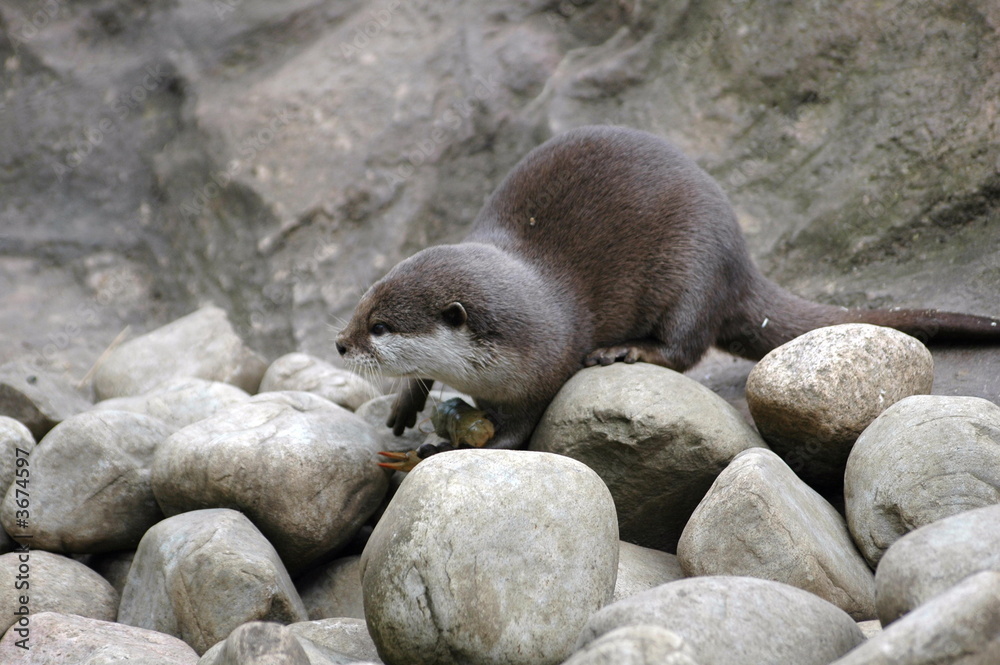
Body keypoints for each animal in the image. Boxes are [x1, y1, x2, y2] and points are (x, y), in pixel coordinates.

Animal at [336, 125, 1000, 451]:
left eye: (381, 328)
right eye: (363, 303)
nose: (339, 342)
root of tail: (739, 261)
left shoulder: (544, 366)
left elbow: (523, 429)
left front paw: (455, 448)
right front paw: (405, 404)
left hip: (693, 271)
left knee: (686, 347)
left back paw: (626, 350)